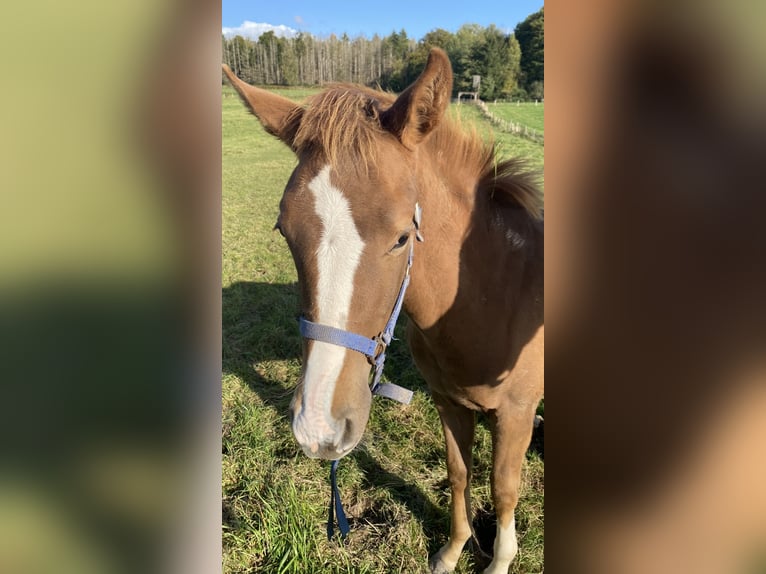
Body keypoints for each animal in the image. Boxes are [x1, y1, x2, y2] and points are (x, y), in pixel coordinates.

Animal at [222, 49, 544, 574]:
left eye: (401, 237)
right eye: (283, 229)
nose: (320, 429)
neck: (498, 294)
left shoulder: (515, 413)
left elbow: (503, 489)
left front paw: (498, 560)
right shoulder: (448, 401)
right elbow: (459, 474)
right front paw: (453, 551)